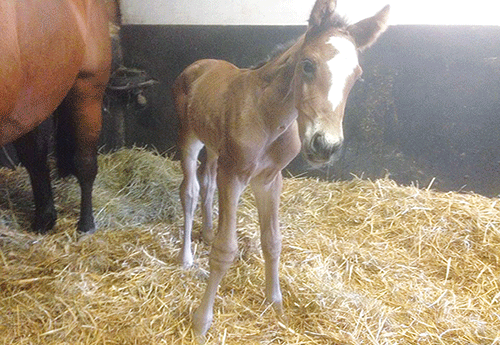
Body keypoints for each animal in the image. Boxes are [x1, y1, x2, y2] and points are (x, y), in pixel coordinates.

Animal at [0, 0, 110, 234]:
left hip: (88, 90)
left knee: (85, 163)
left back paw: (86, 225)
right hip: (30, 107)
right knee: (36, 157)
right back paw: (45, 219)